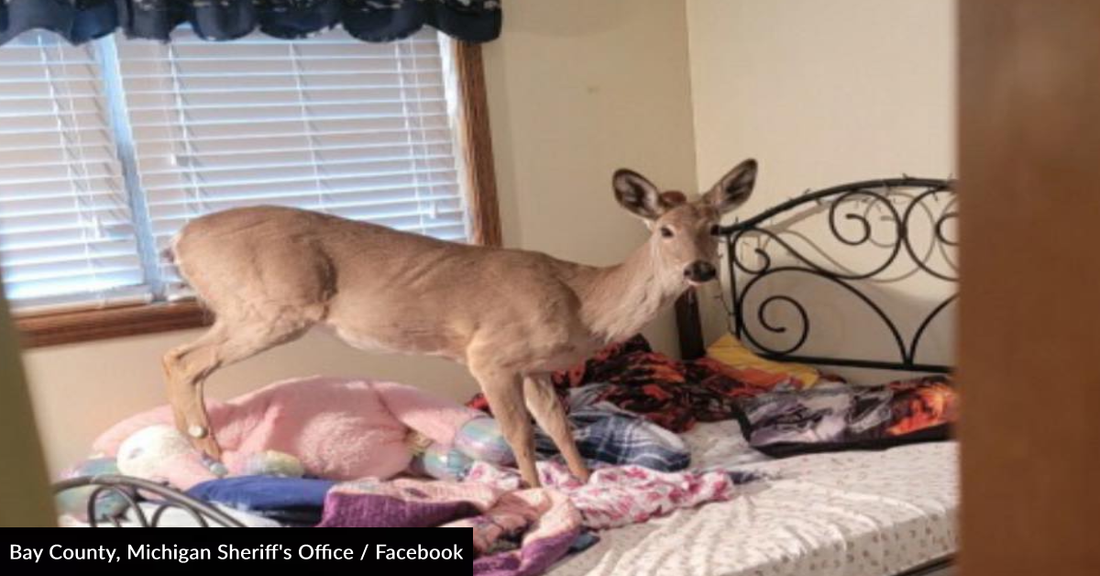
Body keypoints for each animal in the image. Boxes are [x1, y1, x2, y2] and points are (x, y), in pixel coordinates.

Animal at [162, 158, 758, 488]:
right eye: (664, 230)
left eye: (715, 226)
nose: (700, 269)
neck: (581, 301)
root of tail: (180, 240)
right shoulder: (490, 354)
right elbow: (517, 432)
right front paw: (536, 492)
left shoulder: (535, 367)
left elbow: (559, 427)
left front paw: (586, 479)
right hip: (270, 305)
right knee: (182, 359)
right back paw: (209, 454)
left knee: (177, 358)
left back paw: (204, 457)